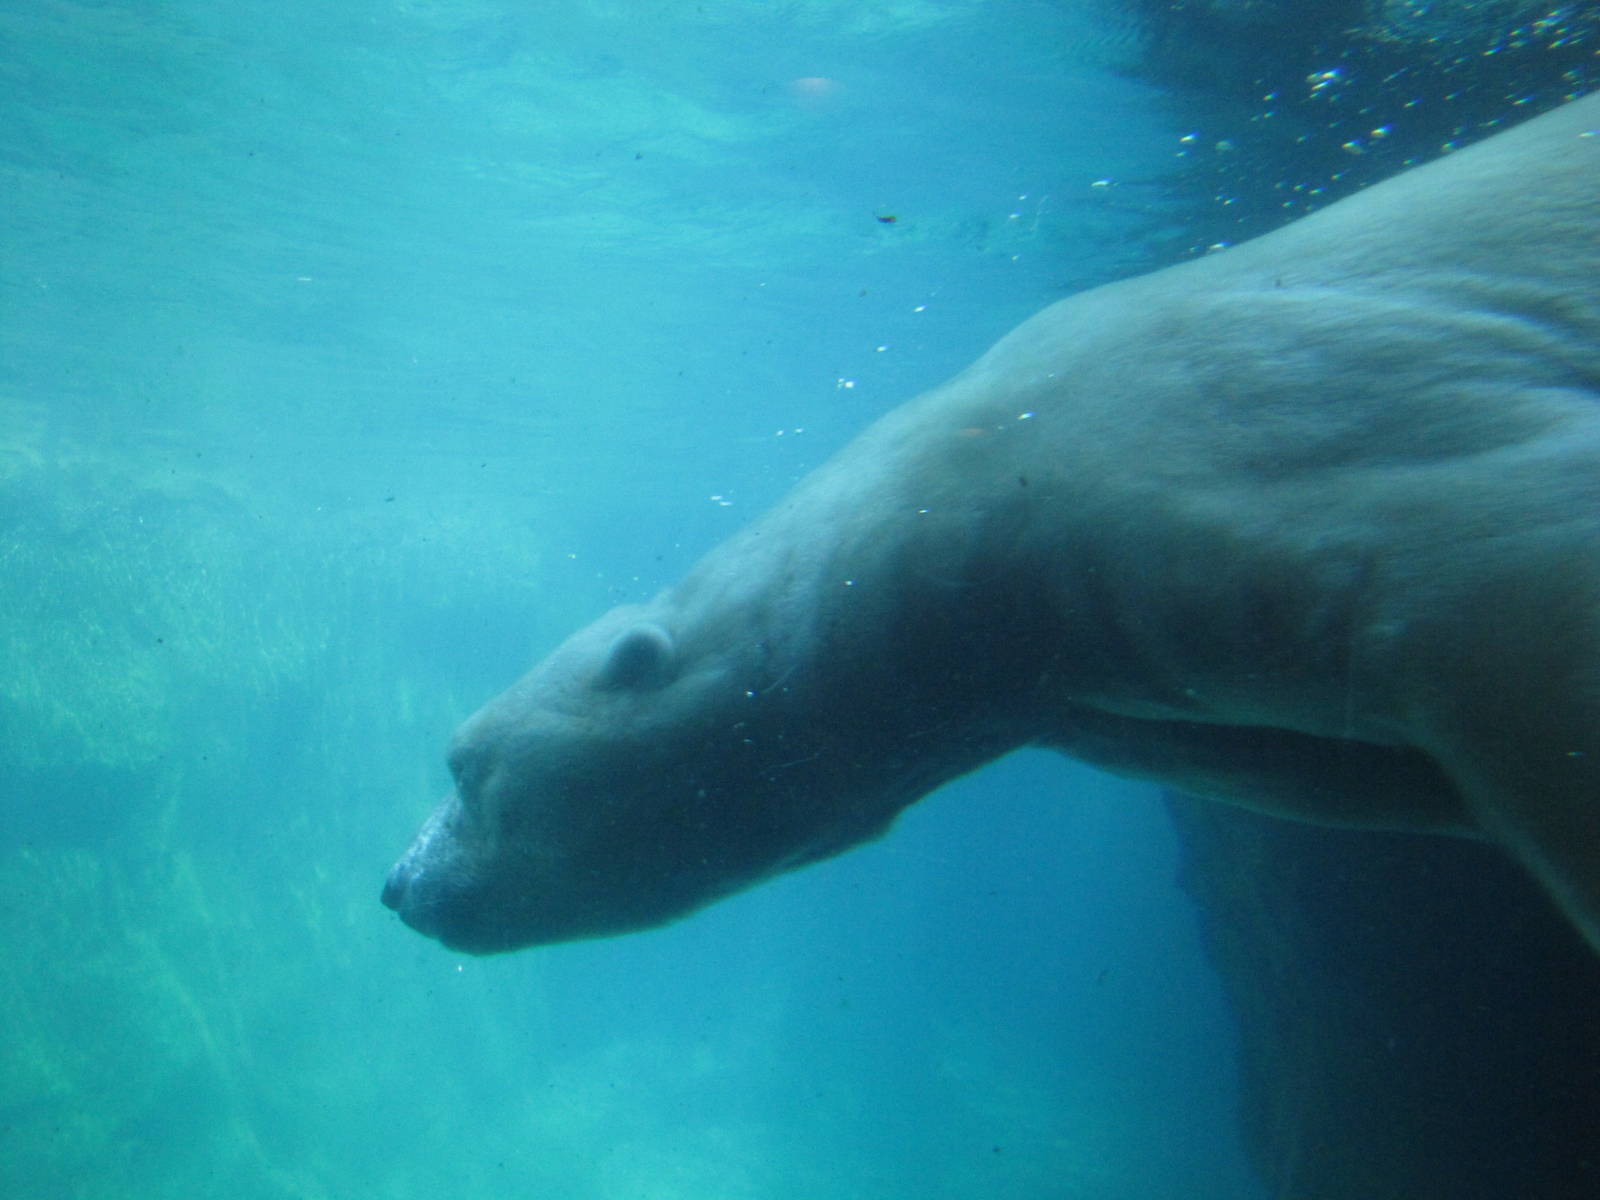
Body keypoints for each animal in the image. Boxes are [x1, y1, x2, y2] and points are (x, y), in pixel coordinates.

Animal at [383, 92, 1600, 956]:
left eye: (465, 768)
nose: (398, 886)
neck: (974, 486)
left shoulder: (1238, 428)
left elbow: (1498, 559)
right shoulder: (1114, 690)